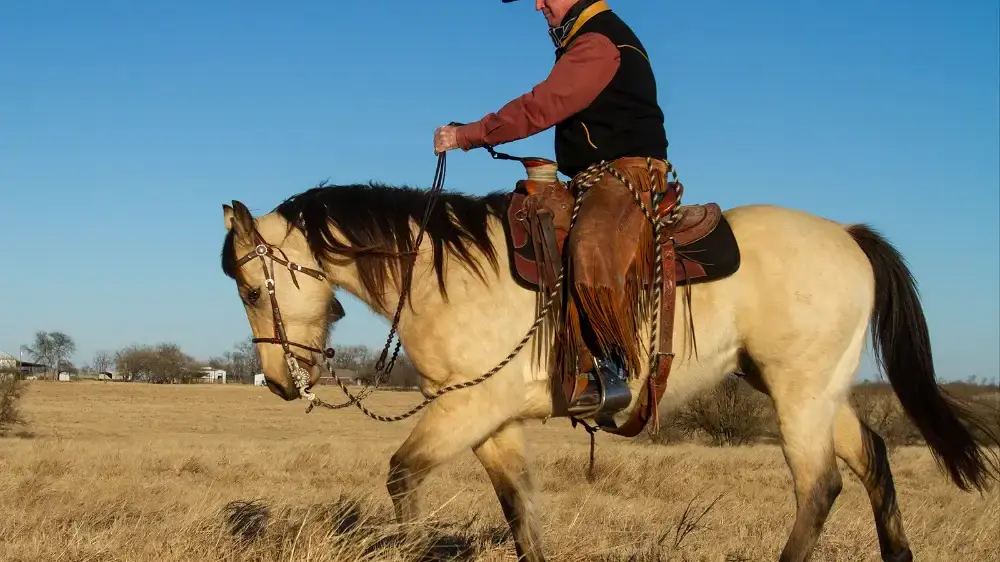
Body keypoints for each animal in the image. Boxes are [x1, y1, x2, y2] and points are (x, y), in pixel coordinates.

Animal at [218, 160, 999, 562]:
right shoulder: (493, 424)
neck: (451, 275)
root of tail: (846, 233)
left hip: (799, 392)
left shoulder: (470, 409)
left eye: (254, 289)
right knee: (871, 459)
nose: (281, 383)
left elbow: (403, 476)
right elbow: (521, 514)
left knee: (819, 486)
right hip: (814, 389)